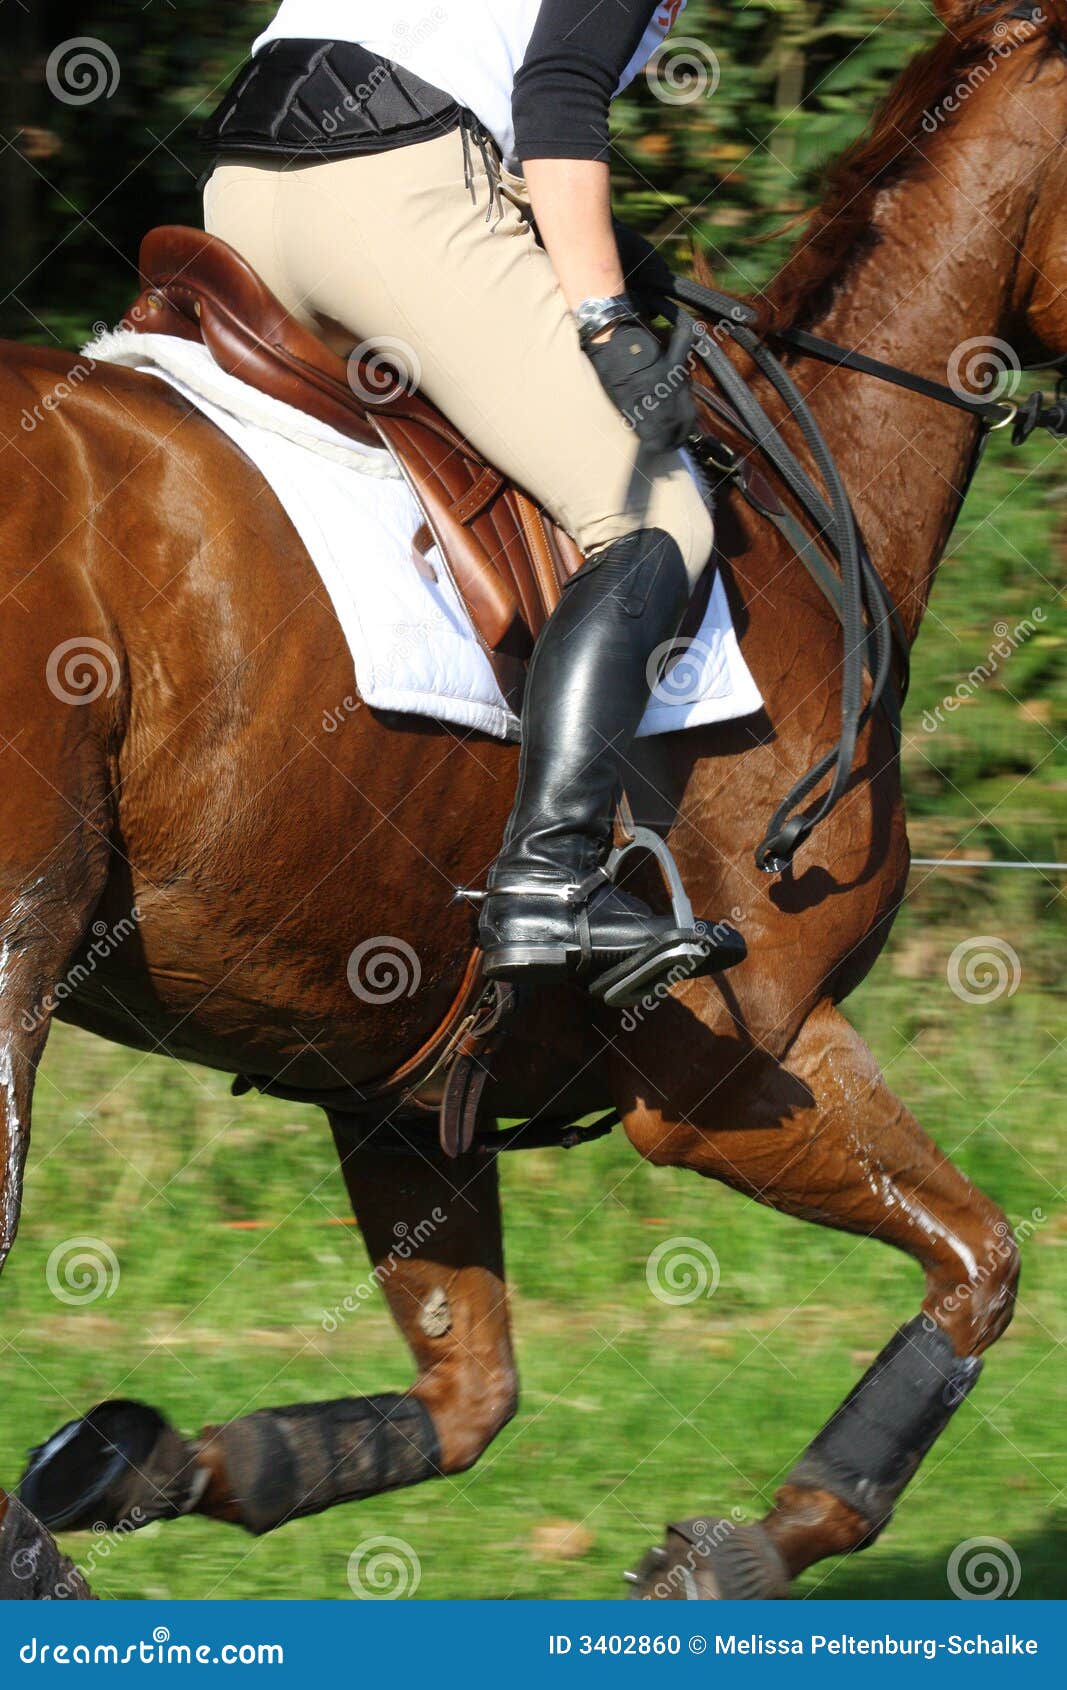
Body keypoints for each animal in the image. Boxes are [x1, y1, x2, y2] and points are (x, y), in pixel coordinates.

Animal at [1, 0, 1064, 1598]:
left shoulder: (388, 1081)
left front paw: (134, 1459)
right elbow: (979, 1261)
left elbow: (462, 1404)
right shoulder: (734, 1061)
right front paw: (746, 1549)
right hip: (21, 938)